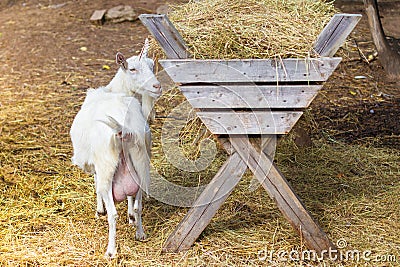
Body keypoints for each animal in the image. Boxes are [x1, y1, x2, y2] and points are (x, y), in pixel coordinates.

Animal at [70, 40, 161, 260]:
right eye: (133, 69)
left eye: (151, 66)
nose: (157, 86)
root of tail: (124, 128)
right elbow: (130, 197)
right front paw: (131, 217)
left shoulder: (95, 164)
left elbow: (95, 185)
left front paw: (99, 210)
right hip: (141, 159)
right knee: (138, 204)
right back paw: (140, 233)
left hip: (107, 164)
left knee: (112, 211)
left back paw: (111, 250)